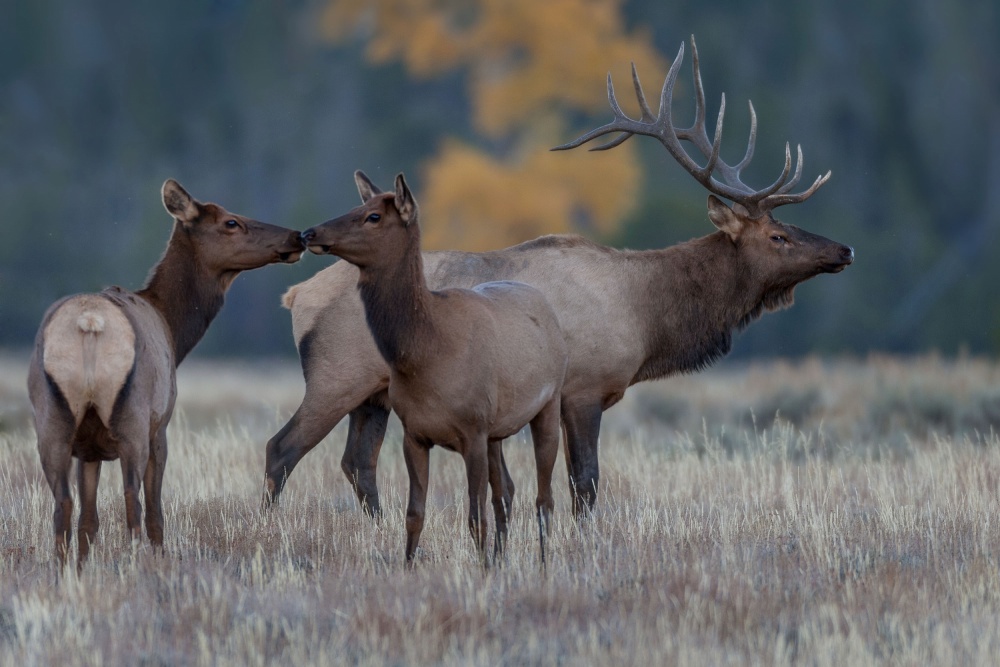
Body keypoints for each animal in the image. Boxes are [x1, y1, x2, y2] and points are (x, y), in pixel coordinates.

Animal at [28, 179, 305, 568]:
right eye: (231, 222)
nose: (297, 236)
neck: (174, 329)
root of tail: (89, 323)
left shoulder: (89, 448)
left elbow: (89, 519)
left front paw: (83, 567)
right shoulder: (160, 427)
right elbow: (155, 511)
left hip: (51, 419)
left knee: (63, 504)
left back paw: (63, 569)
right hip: (134, 417)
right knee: (134, 502)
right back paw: (137, 566)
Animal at [263, 35, 854, 518]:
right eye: (777, 236)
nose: (844, 248)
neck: (645, 317)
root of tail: (294, 296)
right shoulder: (583, 390)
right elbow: (585, 484)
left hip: (375, 394)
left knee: (356, 464)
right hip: (335, 376)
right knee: (281, 449)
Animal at [300, 171, 567, 565]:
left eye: (373, 216)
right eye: (358, 205)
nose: (310, 233)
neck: (426, 356)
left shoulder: (473, 430)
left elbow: (474, 517)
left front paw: (482, 571)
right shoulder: (415, 433)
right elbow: (415, 514)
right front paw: (410, 567)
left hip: (548, 403)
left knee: (543, 498)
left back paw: (543, 564)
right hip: (498, 430)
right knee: (506, 491)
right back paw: (502, 557)